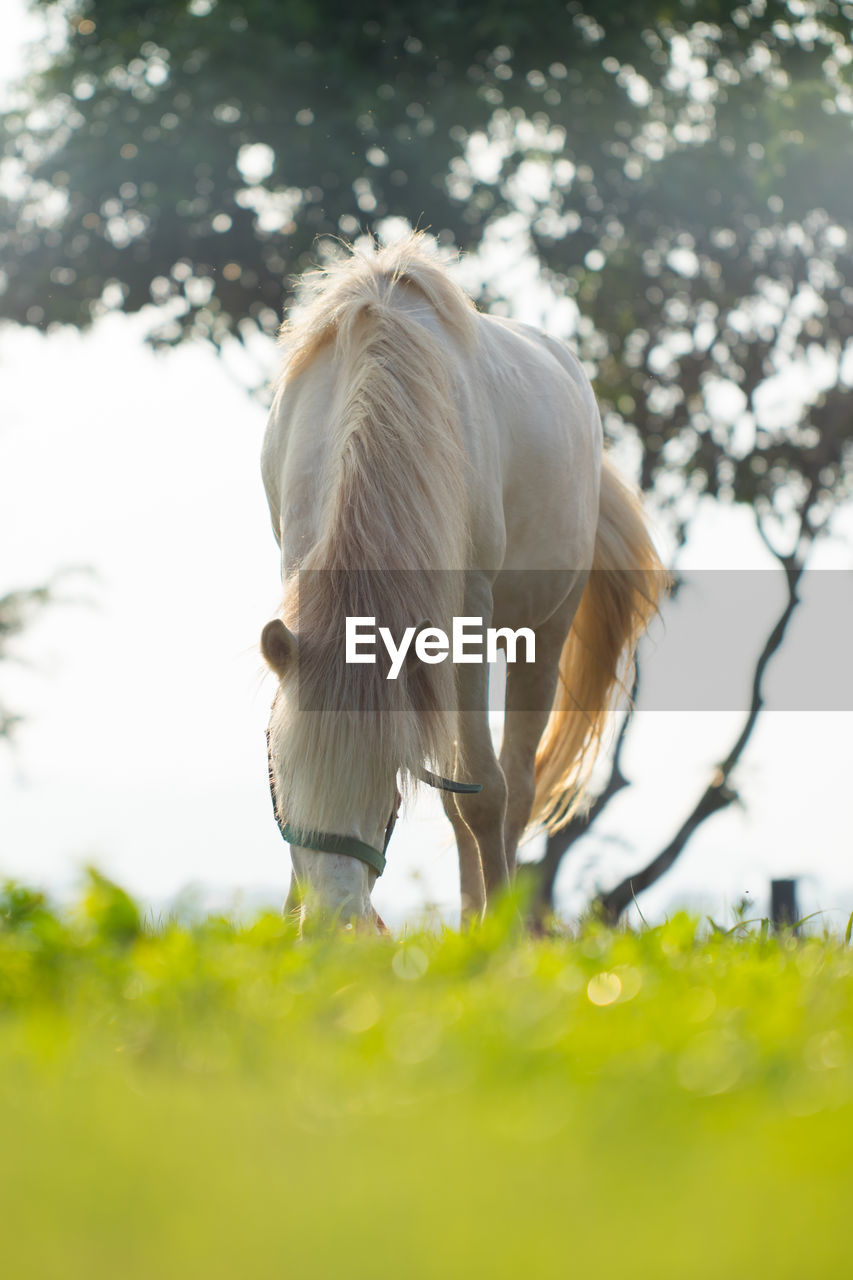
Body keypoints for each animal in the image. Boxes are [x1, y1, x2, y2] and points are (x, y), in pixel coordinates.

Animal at [261, 235, 666, 926]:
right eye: (283, 772)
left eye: (387, 783)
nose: (336, 923)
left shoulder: (466, 622)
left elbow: (485, 795)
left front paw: (495, 934)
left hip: (544, 630)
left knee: (512, 785)